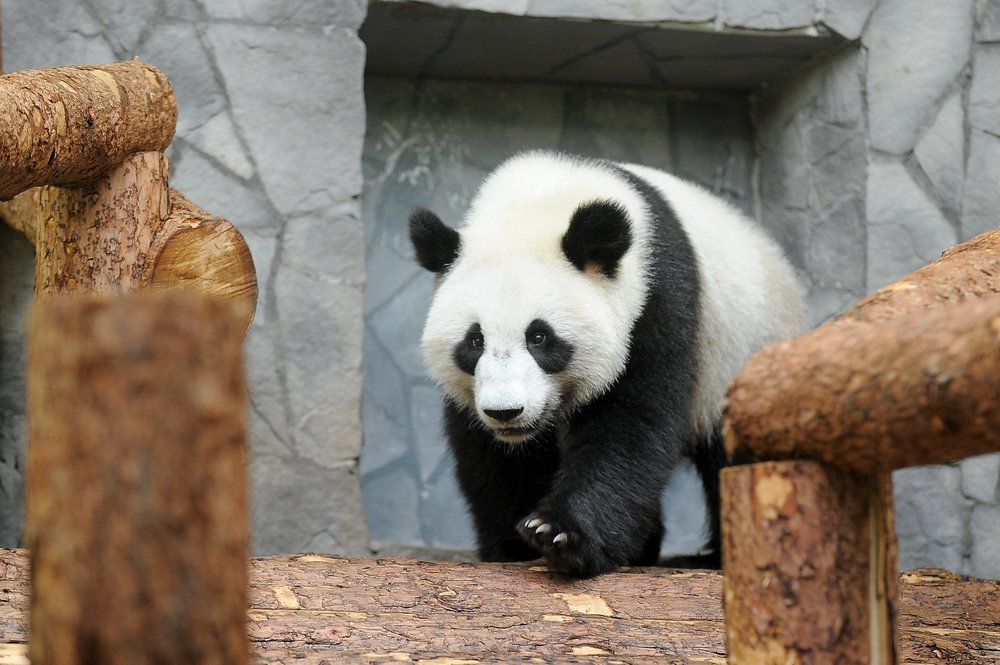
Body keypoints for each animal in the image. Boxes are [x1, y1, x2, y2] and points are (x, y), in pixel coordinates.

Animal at [406, 150, 804, 576]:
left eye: (539, 337)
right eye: (475, 340)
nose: (505, 411)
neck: (547, 197)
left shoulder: (657, 301)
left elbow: (632, 424)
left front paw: (559, 534)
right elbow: (490, 455)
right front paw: (512, 545)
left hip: (742, 357)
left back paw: (712, 557)